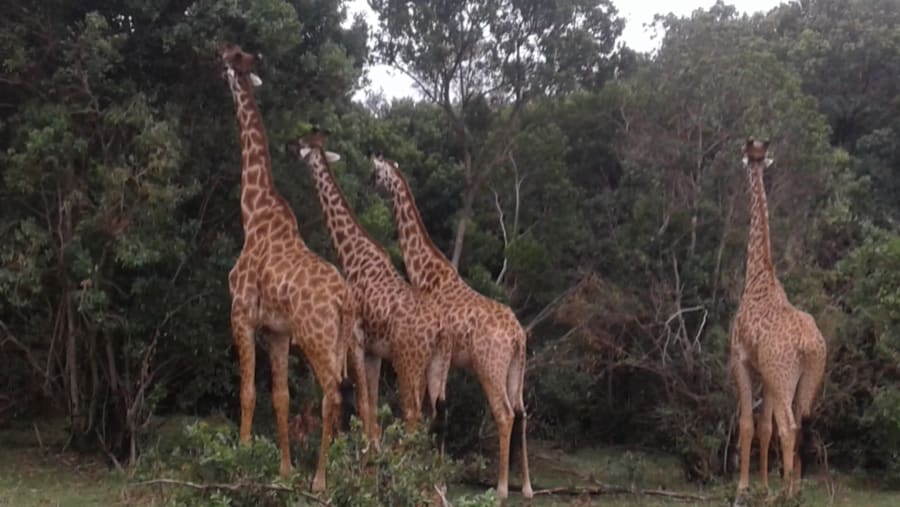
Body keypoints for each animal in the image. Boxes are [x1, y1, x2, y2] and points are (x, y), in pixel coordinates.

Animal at [218, 41, 373, 492]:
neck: (253, 212)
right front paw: (284, 470)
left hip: (317, 338)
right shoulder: (277, 331)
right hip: (335, 340)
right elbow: (281, 397)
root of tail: (344, 301)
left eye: (230, 55)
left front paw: (242, 458)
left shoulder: (241, 313)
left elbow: (248, 392)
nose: (216, 52)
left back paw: (322, 480)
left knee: (333, 394)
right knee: (351, 397)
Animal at [287, 131, 452, 432]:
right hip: (435, 364)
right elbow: (372, 408)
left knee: (412, 412)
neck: (352, 254)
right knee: (433, 412)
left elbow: (363, 405)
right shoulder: (374, 351)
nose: (289, 147)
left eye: (302, 143)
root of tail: (441, 329)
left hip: (407, 360)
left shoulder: (356, 340)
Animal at [369, 154, 533, 501]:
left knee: (504, 413)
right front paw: (438, 480)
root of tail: (517, 336)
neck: (426, 273)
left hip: (489, 365)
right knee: (522, 412)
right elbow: (440, 410)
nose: (370, 186)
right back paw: (526, 487)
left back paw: (501, 488)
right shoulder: (445, 361)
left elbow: (430, 410)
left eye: (375, 173)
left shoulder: (431, 356)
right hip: (517, 368)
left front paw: (433, 480)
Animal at [729, 138, 827, 499]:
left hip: (784, 376)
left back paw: (786, 492)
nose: (750, 160)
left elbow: (747, 424)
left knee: (789, 426)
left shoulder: (741, 360)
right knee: (800, 425)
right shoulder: (766, 373)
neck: (758, 274)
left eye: (748, 156)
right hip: (809, 378)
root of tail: (810, 346)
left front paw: (744, 488)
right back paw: (794, 489)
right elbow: (764, 427)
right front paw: (763, 486)